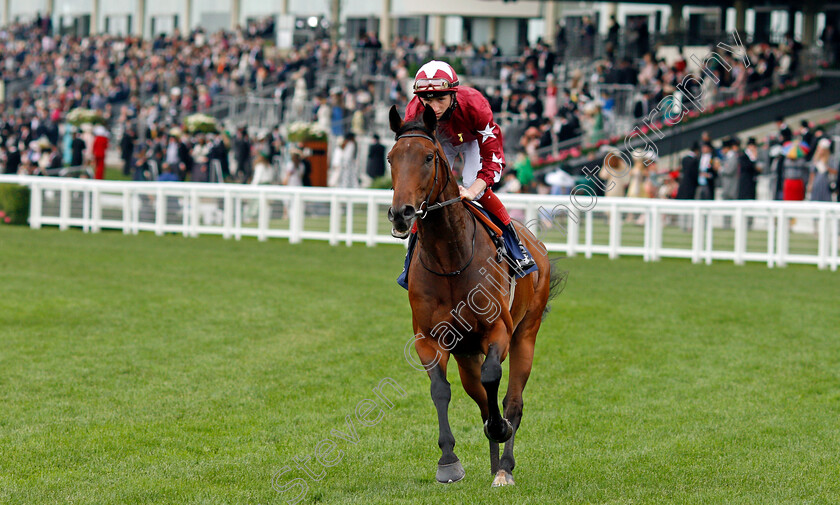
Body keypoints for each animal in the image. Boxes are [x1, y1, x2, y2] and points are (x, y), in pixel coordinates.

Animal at [388, 104, 564, 486]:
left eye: (428, 157)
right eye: (391, 157)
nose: (401, 213)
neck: (451, 258)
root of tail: (537, 245)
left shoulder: (498, 330)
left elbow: (493, 377)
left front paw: (499, 431)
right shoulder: (429, 338)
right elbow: (442, 390)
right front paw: (448, 462)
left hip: (525, 335)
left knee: (513, 399)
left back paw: (505, 467)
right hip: (465, 353)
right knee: (481, 398)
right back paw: (494, 462)